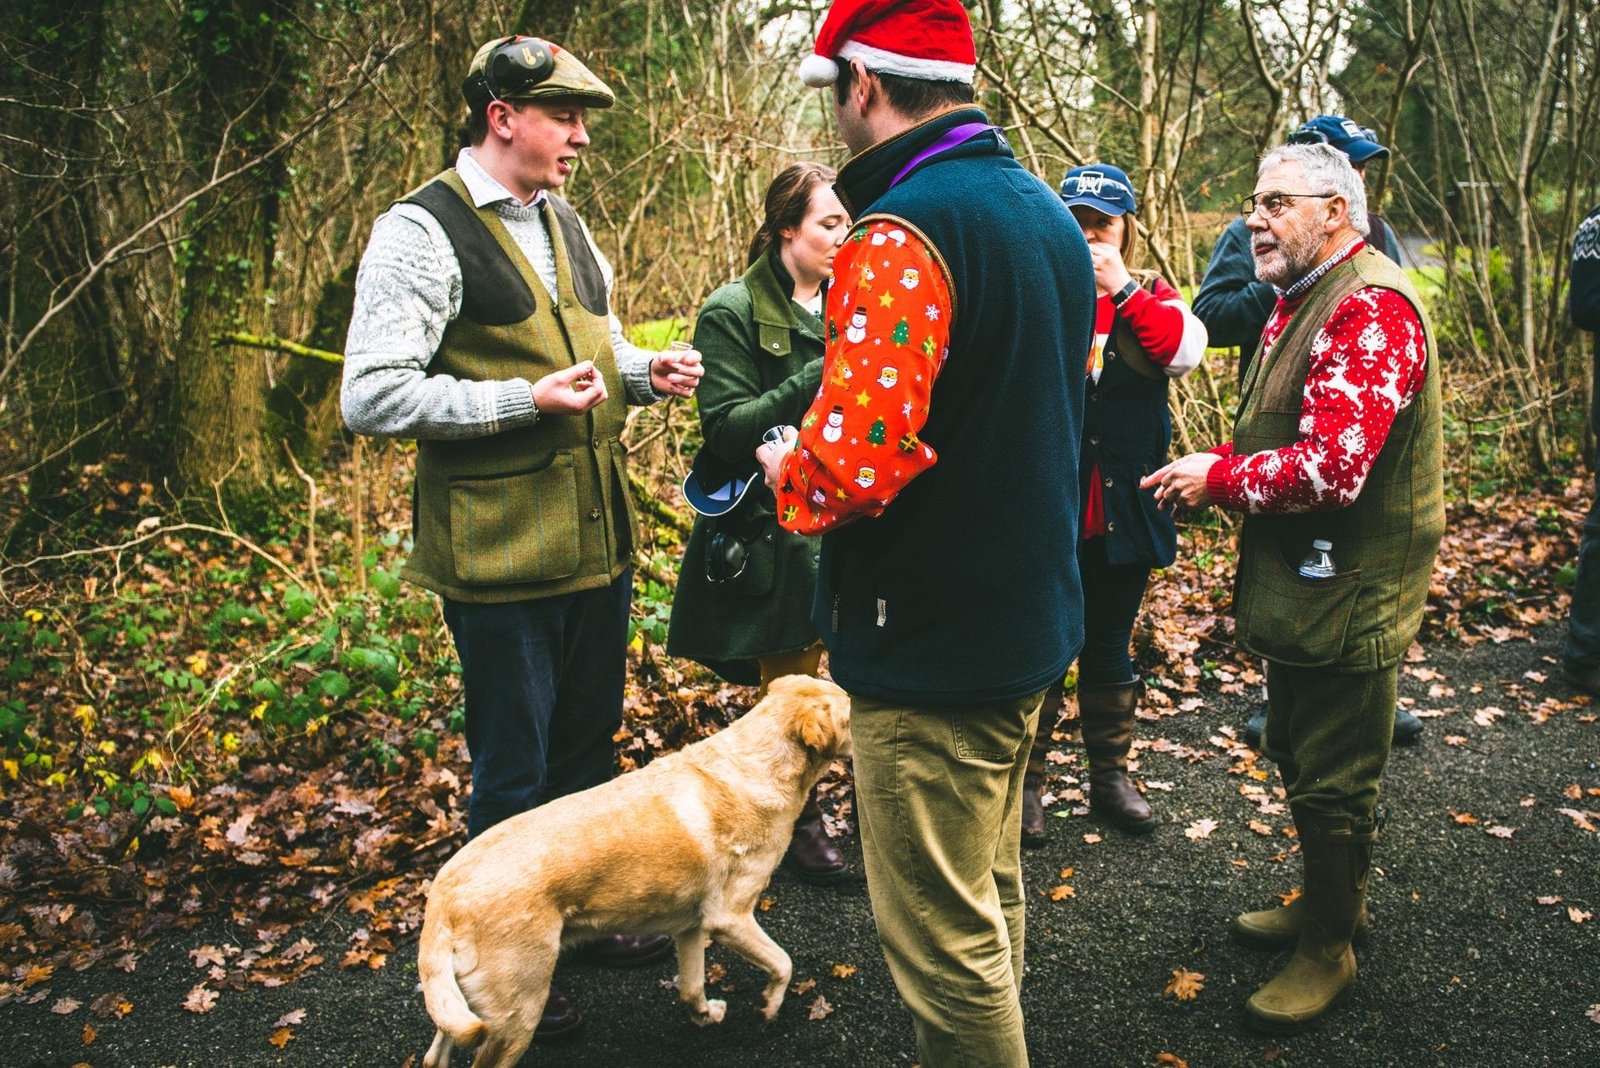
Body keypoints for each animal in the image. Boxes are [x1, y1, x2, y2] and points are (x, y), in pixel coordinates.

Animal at [419, 674, 857, 1068]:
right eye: (851, 713)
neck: (756, 763)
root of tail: (443, 893)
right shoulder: (730, 919)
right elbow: (783, 963)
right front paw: (769, 1006)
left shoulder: (691, 927)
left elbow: (691, 987)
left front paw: (705, 1015)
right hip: (518, 1012)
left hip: (463, 1004)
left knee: (434, 1054)